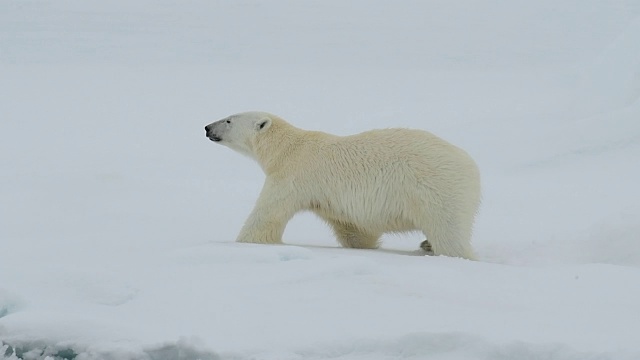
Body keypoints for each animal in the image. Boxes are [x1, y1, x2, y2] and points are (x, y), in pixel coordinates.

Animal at [205, 110, 480, 258]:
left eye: (229, 120)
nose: (207, 127)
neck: (287, 148)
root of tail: (472, 168)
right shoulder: (329, 198)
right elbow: (354, 229)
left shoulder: (292, 176)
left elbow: (266, 217)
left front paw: (244, 242)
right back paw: (426, 244)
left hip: (436, 189)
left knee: (449, 232)